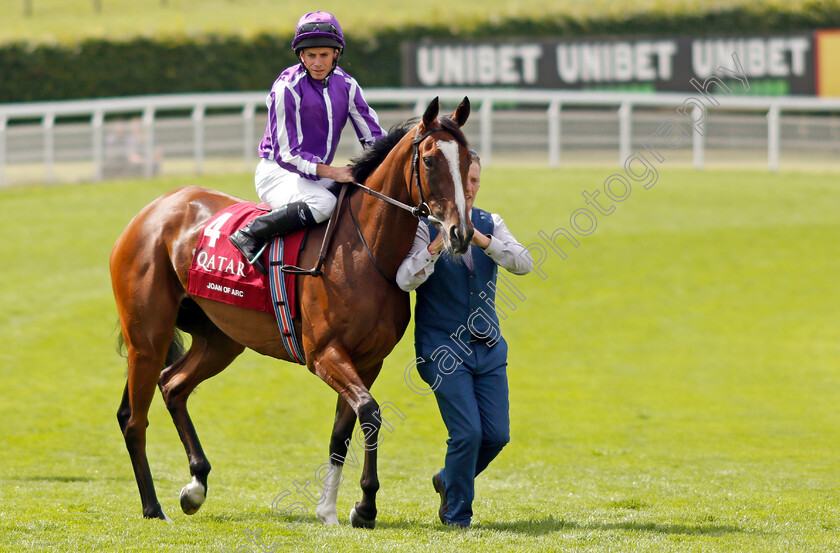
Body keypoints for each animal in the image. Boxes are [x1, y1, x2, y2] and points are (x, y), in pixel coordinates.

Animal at [107, 96, 472, 528]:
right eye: (430, 160)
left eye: (469, 160)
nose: (461, 234)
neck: (363, 251)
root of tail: (151, 211)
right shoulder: (324, 353)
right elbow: (369, 411)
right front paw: (365, 506)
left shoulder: (368, 360)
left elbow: (344, 430)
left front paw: (332, 509)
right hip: (148, 337)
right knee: (134, 419)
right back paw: (152, 507)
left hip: (221, 340)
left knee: (173, 385)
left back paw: (195, 486)